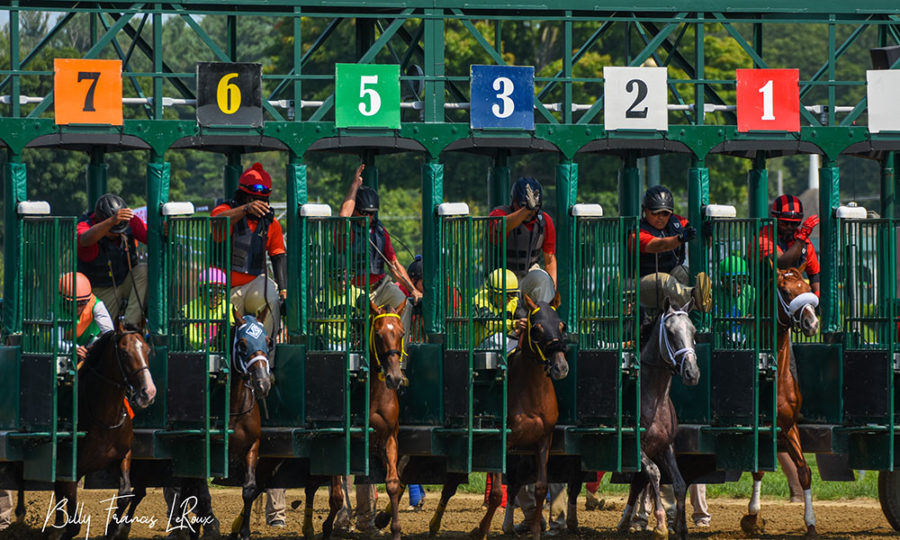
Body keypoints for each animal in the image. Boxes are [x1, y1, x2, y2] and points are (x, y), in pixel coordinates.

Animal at [32, 320, 156, 540]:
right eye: (124, 353)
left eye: (147, 350)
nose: (148, 392)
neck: (105, 417)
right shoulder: (71, 468)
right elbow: (74, 523)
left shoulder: (123, 455)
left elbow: (125, 494)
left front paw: (113, 529)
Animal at [302, 300, 408, 540]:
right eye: (378, 334)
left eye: (401, 333)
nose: (395, 378)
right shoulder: (338, 441)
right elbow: (336, 495)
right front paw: (328, 527)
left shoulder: (389, 438)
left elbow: (393, 483)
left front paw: (395, 529)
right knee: (312, 484)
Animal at [424, 294, 568, 540]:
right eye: (537, 329)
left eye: (561, 326)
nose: (560, 367)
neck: (532, 392)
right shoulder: (501, 441)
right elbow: (496, 494)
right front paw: (481, 530)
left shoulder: (543, 439)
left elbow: (540, 487)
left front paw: (536, 531)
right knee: (447, 484)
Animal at [616, 300, 700, 540]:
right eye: (670, 333)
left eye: (693, 331)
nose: (692, 373)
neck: (653, 400)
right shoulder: (635, 447)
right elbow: (654, 472)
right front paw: (661, 524)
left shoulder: (665, 446)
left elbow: (679, 484)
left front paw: (681, 528)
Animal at [740, 264, 820, 536]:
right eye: (785, 292)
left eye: (806, 287)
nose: (812, 323)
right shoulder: (756, 430)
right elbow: (758, 468)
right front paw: (752, 516)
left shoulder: (788, 425)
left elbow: (804, 470)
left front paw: (810, 523)